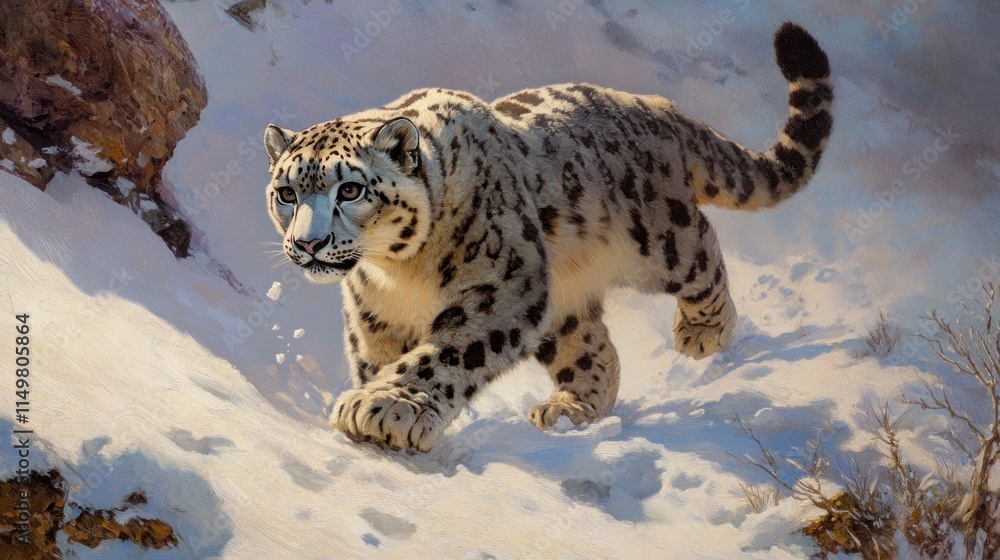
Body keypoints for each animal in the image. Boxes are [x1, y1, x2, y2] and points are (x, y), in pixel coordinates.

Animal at [262, 23, 833, 451]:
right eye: (286, 193)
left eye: (351, 189)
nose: (307, 244)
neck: (398, 269)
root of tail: (657, 107)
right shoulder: (374, 313)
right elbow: (375, 358)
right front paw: (376, 405)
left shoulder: (501, 286)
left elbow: (447, 353)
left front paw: (385, 407)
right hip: (564, 300)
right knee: (591, 348)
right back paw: (570, 408)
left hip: (657, 241)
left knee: (703, 253)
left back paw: (703, 332)